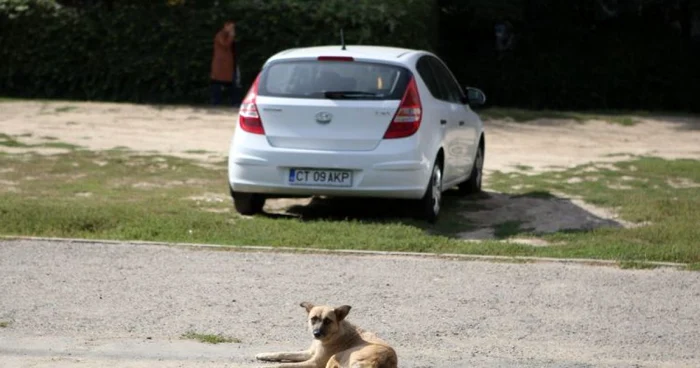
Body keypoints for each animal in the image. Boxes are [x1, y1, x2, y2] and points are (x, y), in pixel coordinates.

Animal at [256, 302, 400, 368]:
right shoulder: (310, 353)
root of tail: (379, 362)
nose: (316, 334)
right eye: (313, 319)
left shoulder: (315, 362)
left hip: (335, 357)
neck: (335, 333)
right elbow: (283, 353)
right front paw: (263, 355)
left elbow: (284, 365)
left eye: (327, 321)